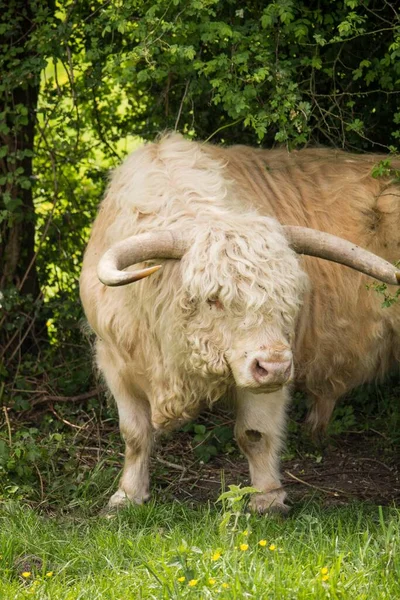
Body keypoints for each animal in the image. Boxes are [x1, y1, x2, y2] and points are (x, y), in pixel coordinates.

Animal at [80, 134, 400, 512]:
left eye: (289, 294)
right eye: (213, 298)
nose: (274, 366)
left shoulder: (270, 371)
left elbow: (255, 433)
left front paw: (267, 498)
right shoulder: (114, 359)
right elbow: (134, 434)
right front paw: (127, 496)